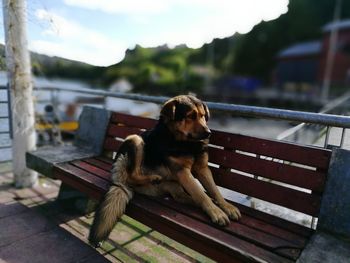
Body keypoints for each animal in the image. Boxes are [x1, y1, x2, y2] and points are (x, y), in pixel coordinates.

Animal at [88, 95, 241, 248]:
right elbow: (201, 194)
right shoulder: (183, 172)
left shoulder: (203, 169)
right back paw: (153, 177)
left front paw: (226, 206)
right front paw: (216, 212)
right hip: (136, 139)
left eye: (203, 116)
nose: (209, 133)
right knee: (133, 175)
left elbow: (214, 190)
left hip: (173, 185)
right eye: (190, 116)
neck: (184, 142)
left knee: (182, 196)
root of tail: (119, 181)